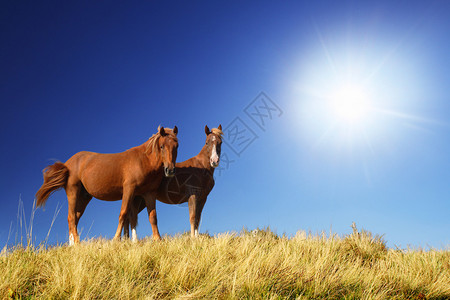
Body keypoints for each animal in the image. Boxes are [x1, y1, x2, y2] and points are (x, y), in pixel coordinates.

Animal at [34, 125, 178, 245]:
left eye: (176, 146)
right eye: (162, 146)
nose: (169, 170)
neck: (144, 160)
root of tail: (67, 164)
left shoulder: (149, 193)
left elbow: (152, 216)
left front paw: (157, 239)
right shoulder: (129, 190)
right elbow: (123, 213)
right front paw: (116, 239)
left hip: (84, 197)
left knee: (75, 218)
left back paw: (72, 244)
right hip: (73, 192)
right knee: (71, 217)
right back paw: (76, 244)